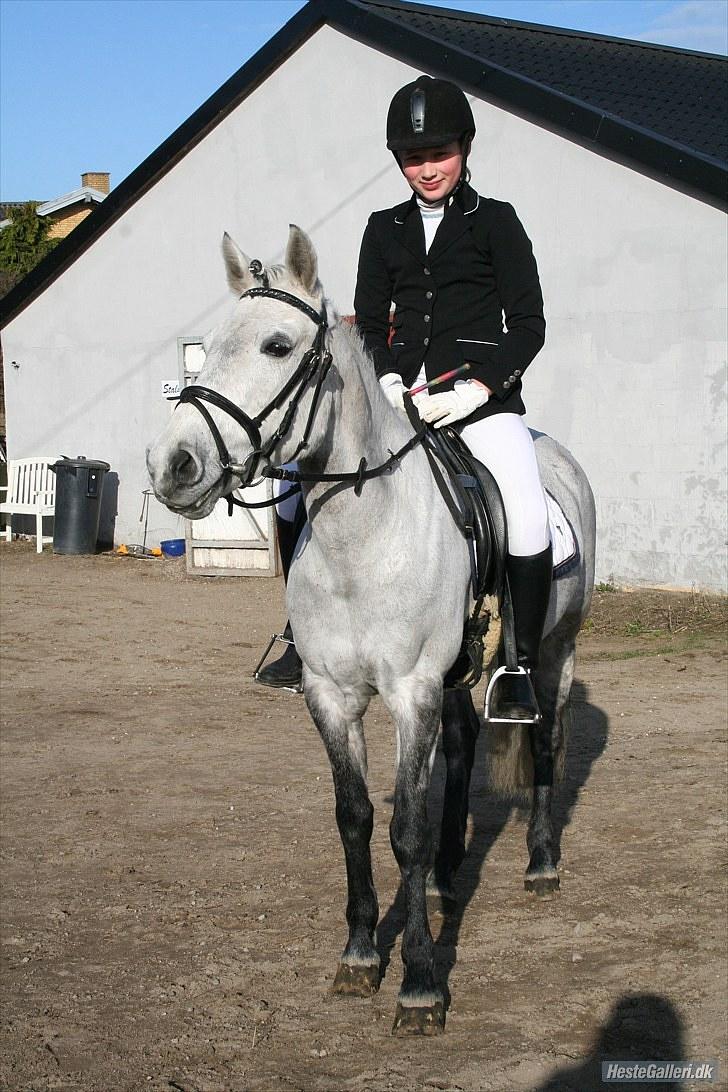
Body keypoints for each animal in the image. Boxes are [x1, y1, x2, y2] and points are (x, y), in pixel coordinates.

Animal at [145, 226, 593, 1035]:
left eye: (279, 346)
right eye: (213, 345)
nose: (174, 465)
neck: (363, 535)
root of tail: (556, 455)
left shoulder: (410, 690)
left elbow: (403, 828)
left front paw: (419, 983)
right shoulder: (332, 693)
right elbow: (353, 818)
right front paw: (359, 955)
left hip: (554, 648)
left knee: (545, 734)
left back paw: (541, 863)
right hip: (457, 674)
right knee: (461, 744)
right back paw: (447, 878)